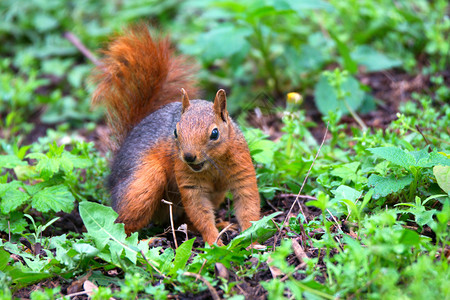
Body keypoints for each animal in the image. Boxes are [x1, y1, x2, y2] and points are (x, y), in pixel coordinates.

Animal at [91, 25, 260, 246]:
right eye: (175, 132)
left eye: (215, 133)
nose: (188, 156)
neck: (212, 165)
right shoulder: (187, 178)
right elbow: (198, 209)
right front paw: (214, 242)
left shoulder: (241, 167)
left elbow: (248, 203)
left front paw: (253, 241)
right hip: (142, 185)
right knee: (123, 225)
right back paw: (145, 242)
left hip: (216, 194)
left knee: (183, 220)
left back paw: (220, 224)